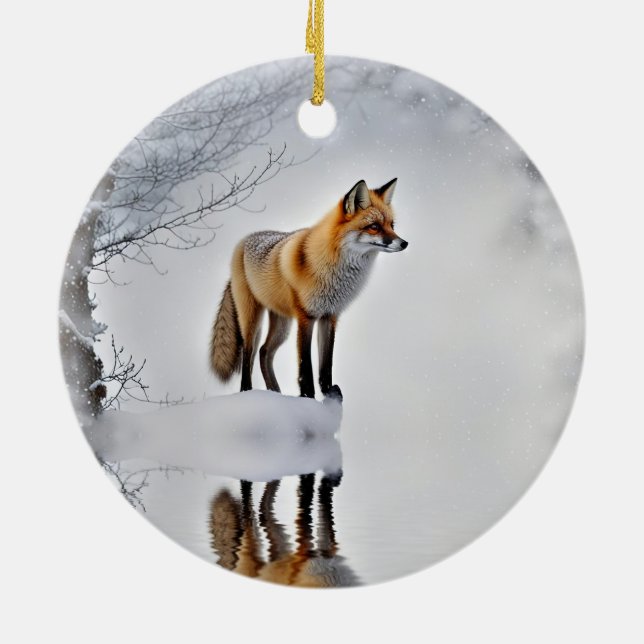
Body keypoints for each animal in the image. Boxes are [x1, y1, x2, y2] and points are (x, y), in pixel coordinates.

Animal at [209, 178, 408, 398]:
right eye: (374, 226)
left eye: (391, 225)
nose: (404, 243)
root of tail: (243, 241)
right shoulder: (306, 316)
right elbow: (306, 366)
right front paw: (307, 396)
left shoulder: (329, 316)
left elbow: (326, 365)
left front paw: (329, 394)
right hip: (253, 319)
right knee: (248, 354)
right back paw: (248, 391)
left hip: (282, 324)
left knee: (264, 352)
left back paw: (275, 392)